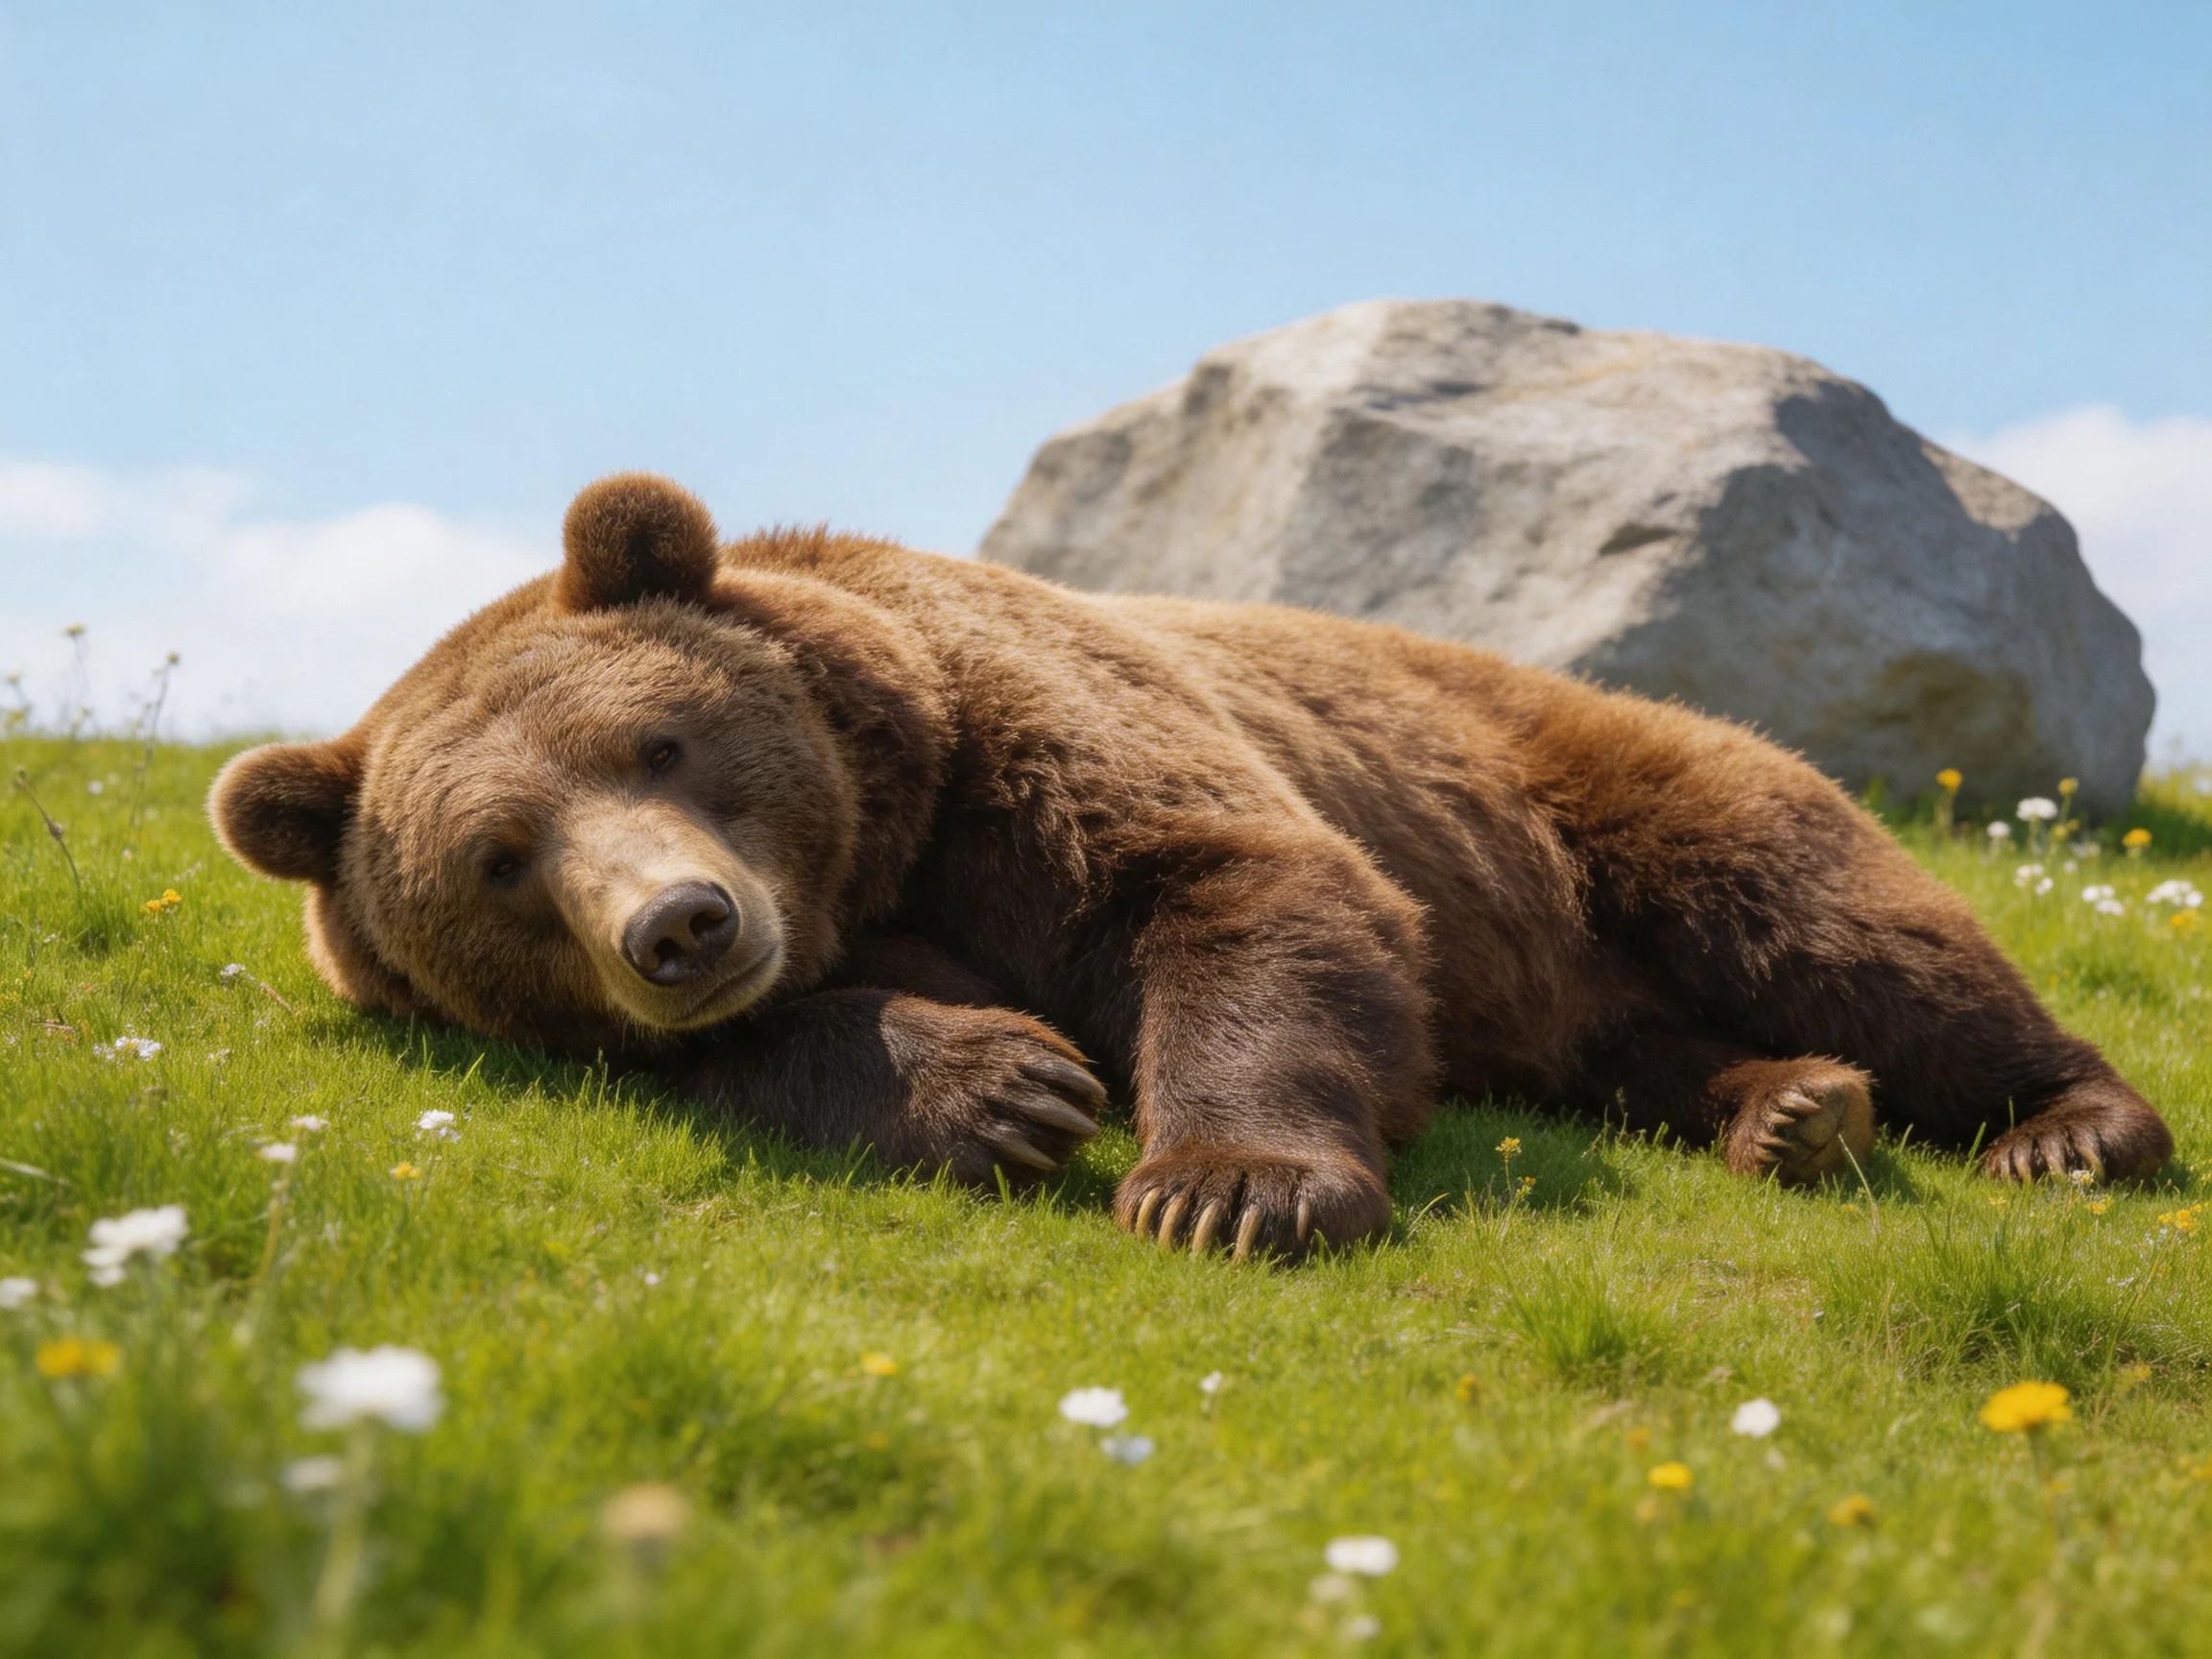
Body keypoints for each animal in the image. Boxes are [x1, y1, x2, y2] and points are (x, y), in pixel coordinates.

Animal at [209, 472, 2175, 1260]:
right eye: (499, 858)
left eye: (656, 745)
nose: (683, 922)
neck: (882, 824)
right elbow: (766, 1045)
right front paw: (998, 1089)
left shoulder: (1030, 736)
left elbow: (1233, 883)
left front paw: (1224, 1186)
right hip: (1543, 970)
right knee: (1638, 1041)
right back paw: (1785, 1108)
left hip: (1589, 789)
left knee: (1832, 920)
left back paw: (2059, 1123)